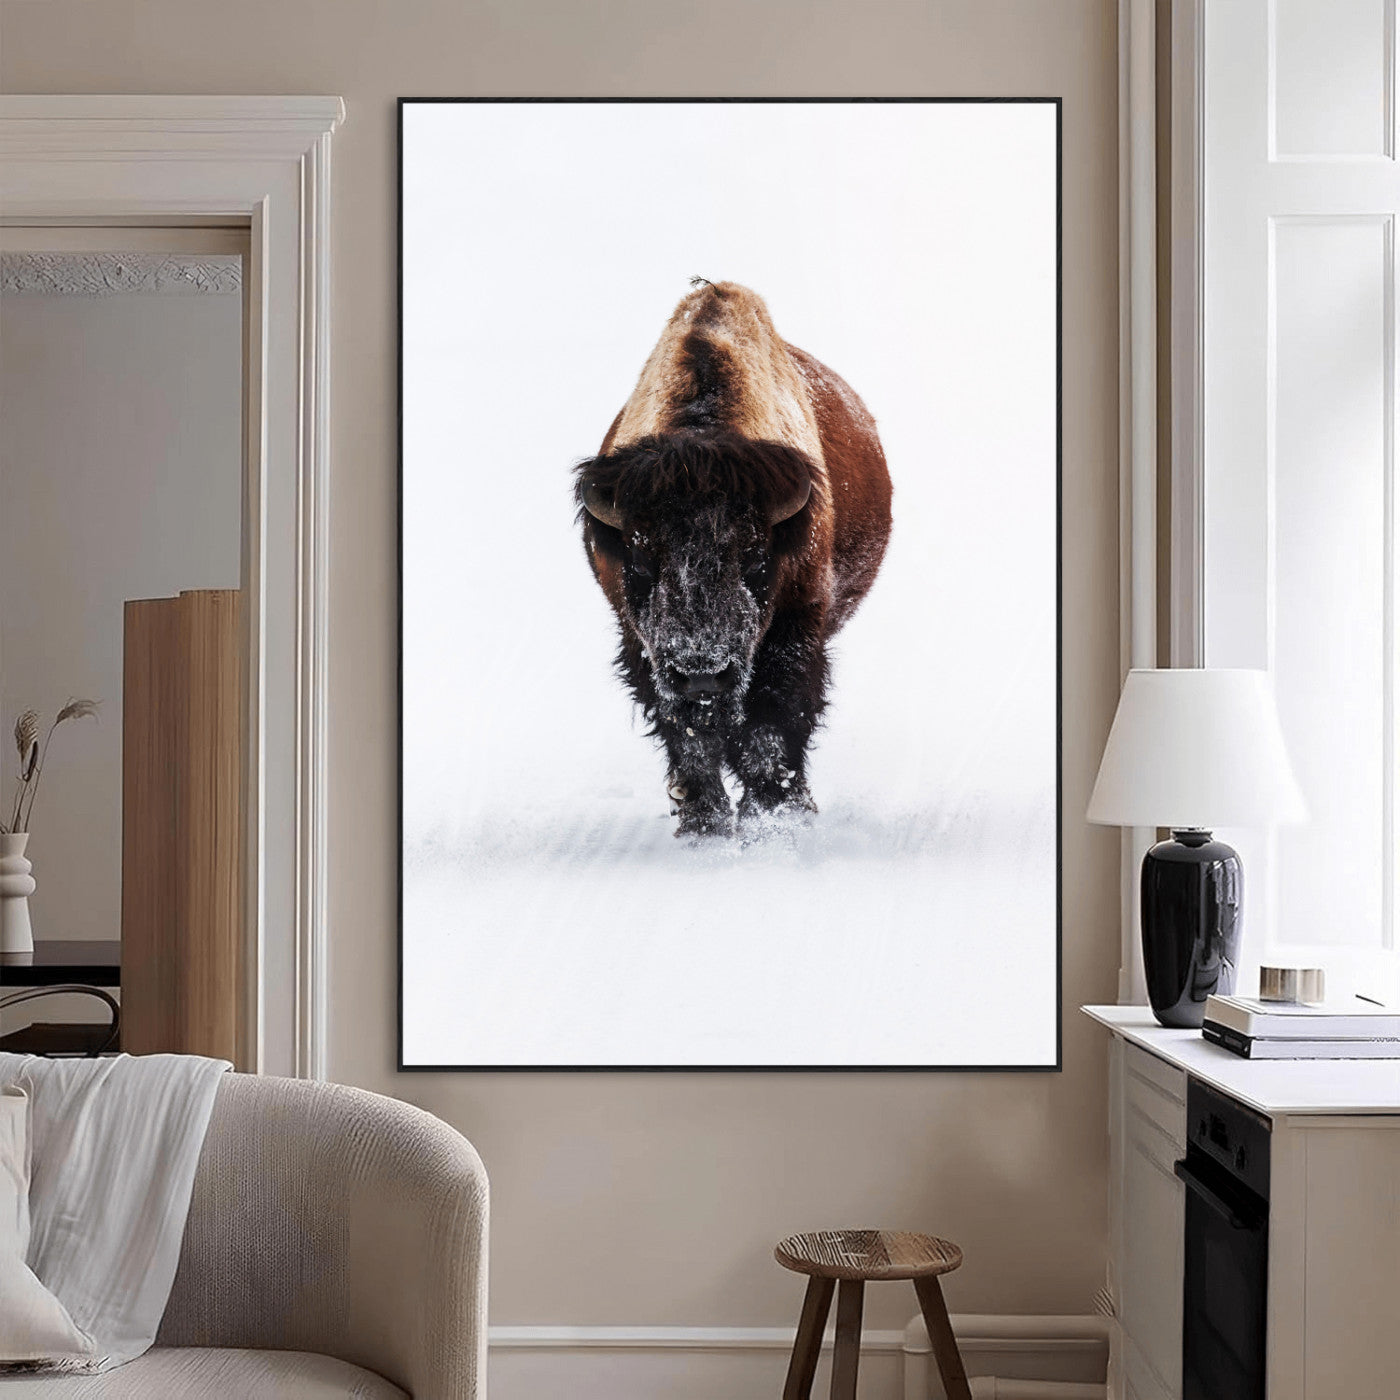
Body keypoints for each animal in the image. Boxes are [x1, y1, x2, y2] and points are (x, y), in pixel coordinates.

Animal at [575, 279, 893, 837]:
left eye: (756, 558)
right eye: (641, 559)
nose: (702, 673)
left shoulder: (793, 632)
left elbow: (771, 727)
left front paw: (775, 816)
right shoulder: (643, 647)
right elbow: (689, 736)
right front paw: (704, 822)